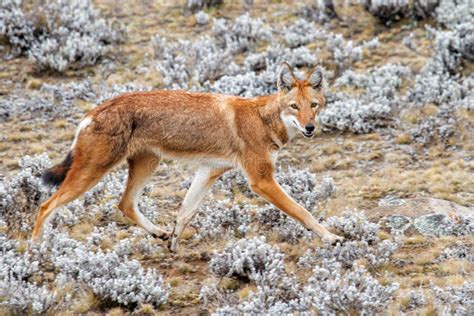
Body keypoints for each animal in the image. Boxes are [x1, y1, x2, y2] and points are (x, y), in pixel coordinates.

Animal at [34, 63, 344, 252]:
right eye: (294, 107)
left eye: (314, 106)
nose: (310, 128)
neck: (263, 120)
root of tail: (94, 111)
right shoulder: (261, 181)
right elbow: (303, 211)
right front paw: (332, 237)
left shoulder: (209, 171)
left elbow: (185, 211)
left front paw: (173, 243)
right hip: (92, 174)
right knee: (46, 206)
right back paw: (36, 251)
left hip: (148, 165)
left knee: (124, 204)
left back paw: (158, 233)